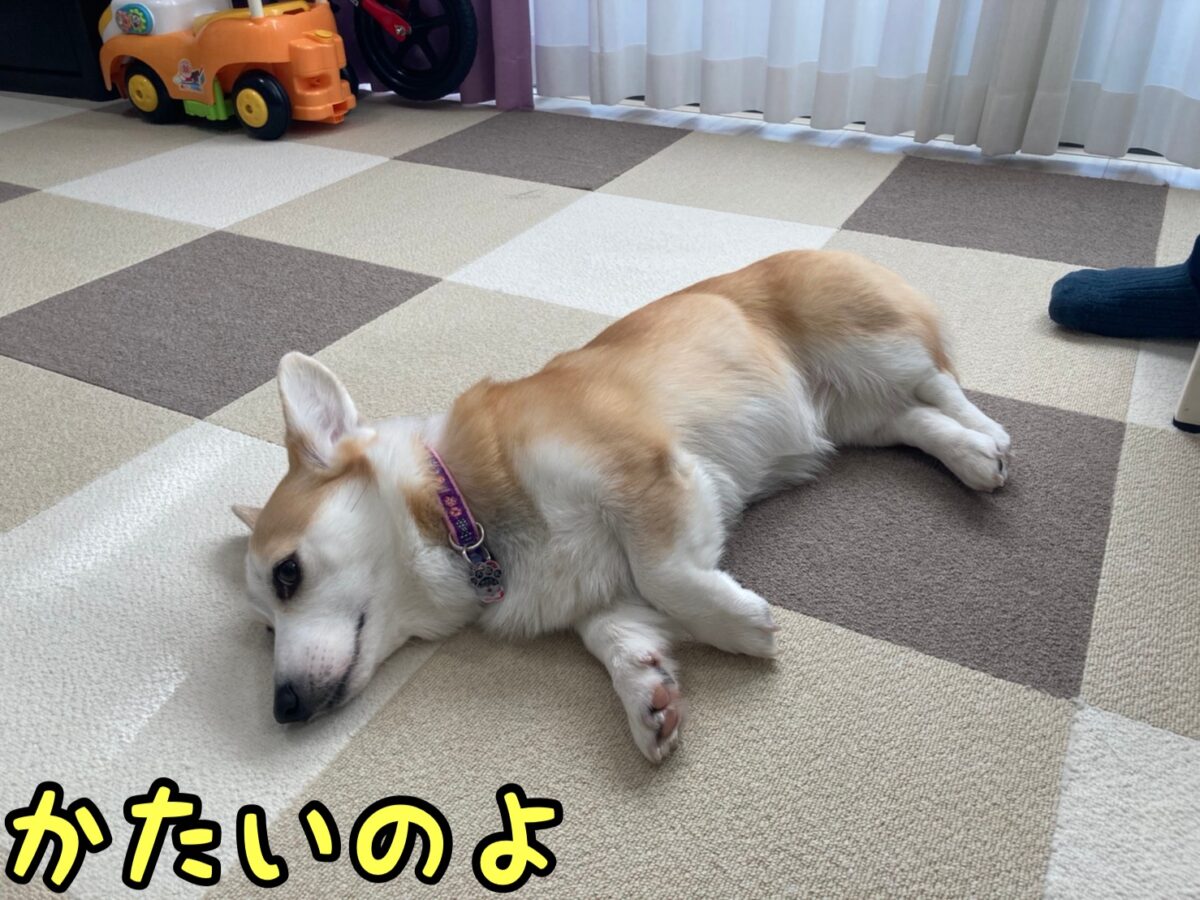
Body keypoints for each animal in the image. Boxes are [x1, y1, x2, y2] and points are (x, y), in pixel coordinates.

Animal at [232, 250, 1010, 762]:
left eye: (288, 574)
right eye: (266, 631)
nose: (282, 709)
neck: (462, 512)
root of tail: (839, 250)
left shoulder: (645, 473)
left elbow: (668, 575)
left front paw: (740, 625)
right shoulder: (601, 596)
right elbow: (617, 638)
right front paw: (649, 700)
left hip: (870, 347)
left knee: (939, 384)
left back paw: (991, 439)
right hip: (855, 414)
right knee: (911, 421)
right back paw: (971, 458)